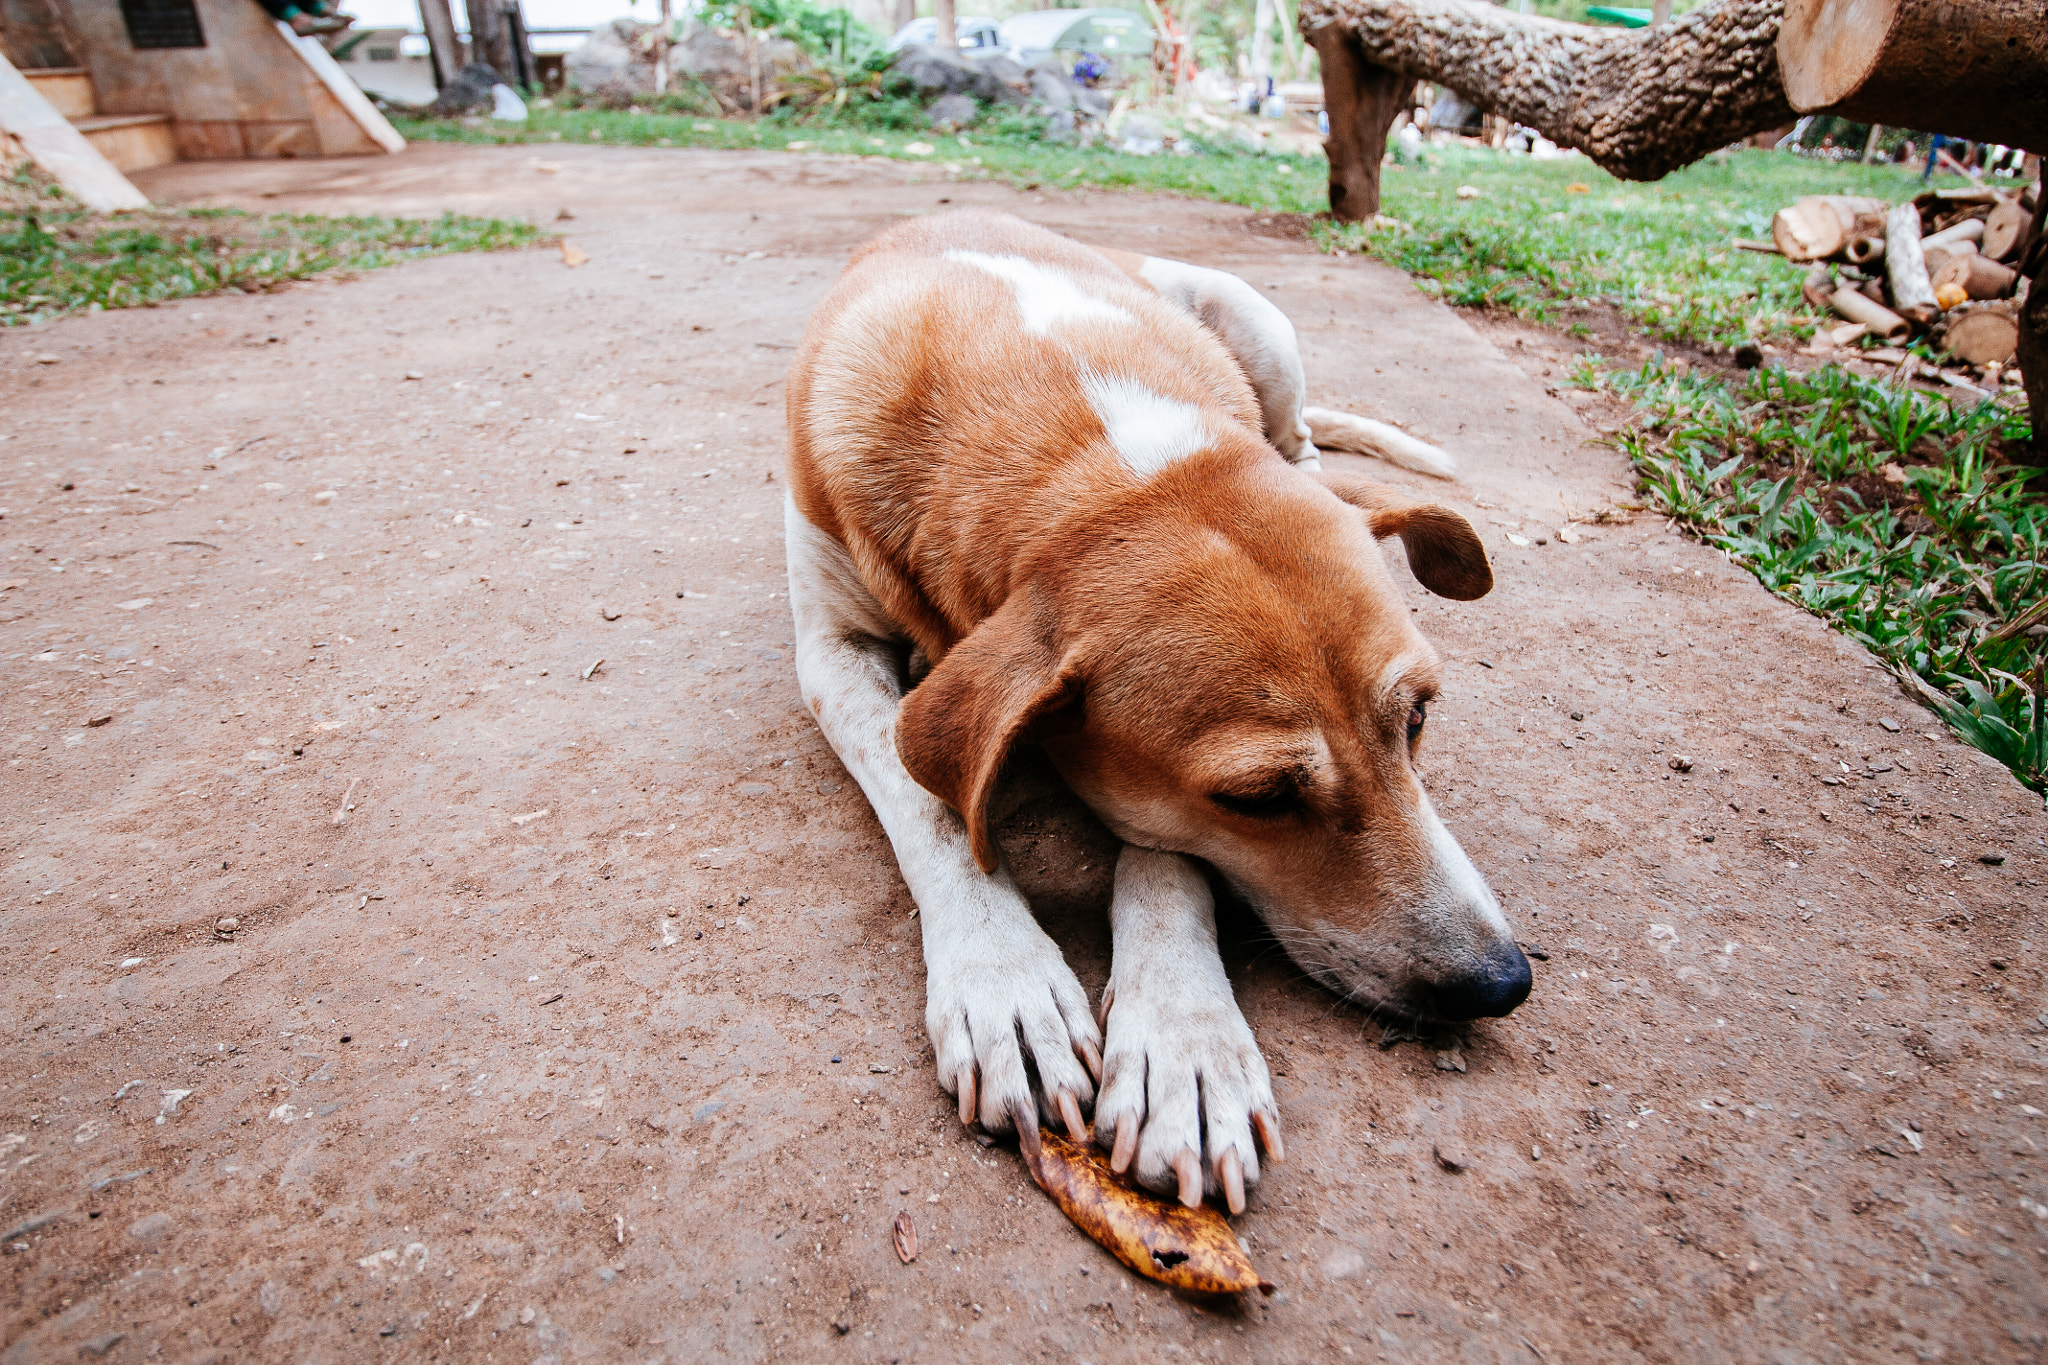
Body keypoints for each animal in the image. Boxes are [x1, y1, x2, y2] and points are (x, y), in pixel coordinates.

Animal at [778, 210, 1523, 1219]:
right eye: (1259, 799)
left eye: (1417, 719)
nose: (1501, 981)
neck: (1085, 441)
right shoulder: (831, 651)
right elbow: (926, 803)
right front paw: (1003, 980)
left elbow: (1168, 856)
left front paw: (1183, 1040)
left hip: (1254, 319)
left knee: (1306, 449)